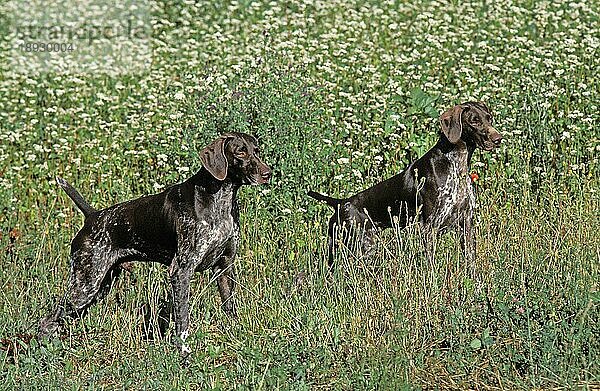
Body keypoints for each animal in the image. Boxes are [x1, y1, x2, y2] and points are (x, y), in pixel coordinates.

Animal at [38, 133, 270, 356]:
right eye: (240, 152)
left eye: (257, 151)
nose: (268, 173)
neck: (219, 200)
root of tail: (92, 216)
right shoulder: (181, 270)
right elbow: (182, 318)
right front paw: (183, 352)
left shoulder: (225, 266)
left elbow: (229, 306)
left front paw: (236, 336)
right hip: (85, 285)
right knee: (47, 321)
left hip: (99, 285)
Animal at [310, 101, 502, 268]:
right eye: (474, 121)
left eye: (489, 118)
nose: (498, 139)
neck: (456, 164)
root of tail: (341, 203)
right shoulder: (429, 227)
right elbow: (430, 265)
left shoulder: (466, 223)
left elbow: (470, 260)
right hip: (355, 246)